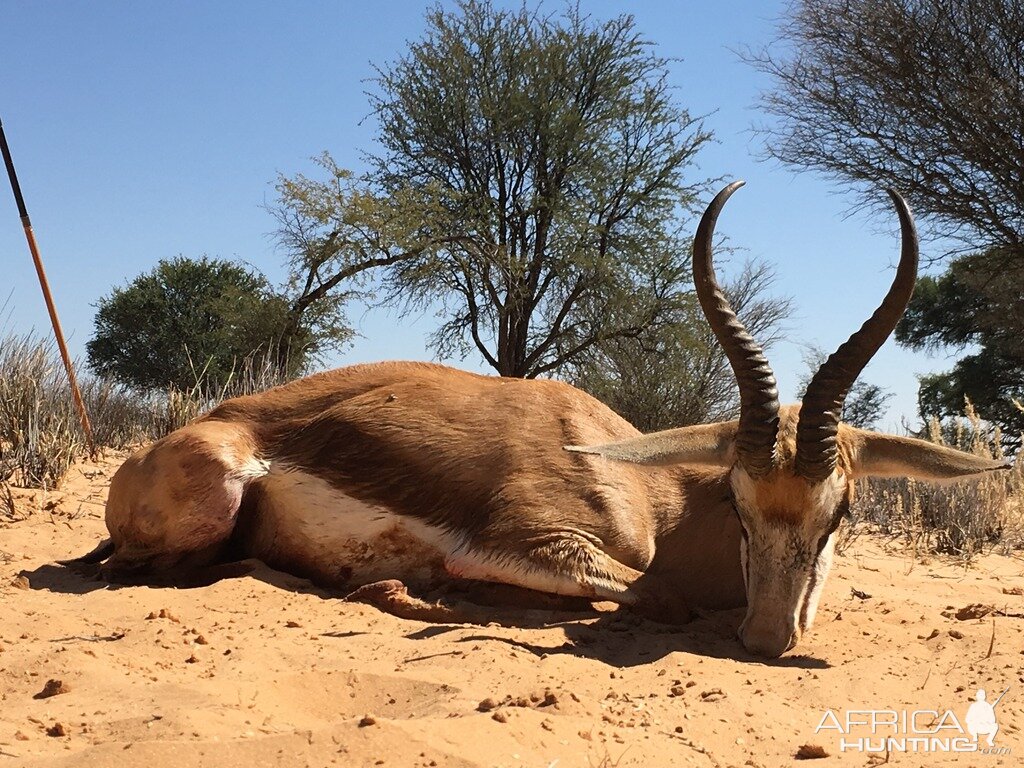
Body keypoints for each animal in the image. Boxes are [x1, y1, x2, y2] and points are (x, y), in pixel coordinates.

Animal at [72, 183, 1007, 659]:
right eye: (739, 503)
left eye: (841, 511)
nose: (767, 638)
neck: (652, 495)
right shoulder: (524, 541)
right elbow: (654, 593)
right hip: (212, 499)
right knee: (149, 569)